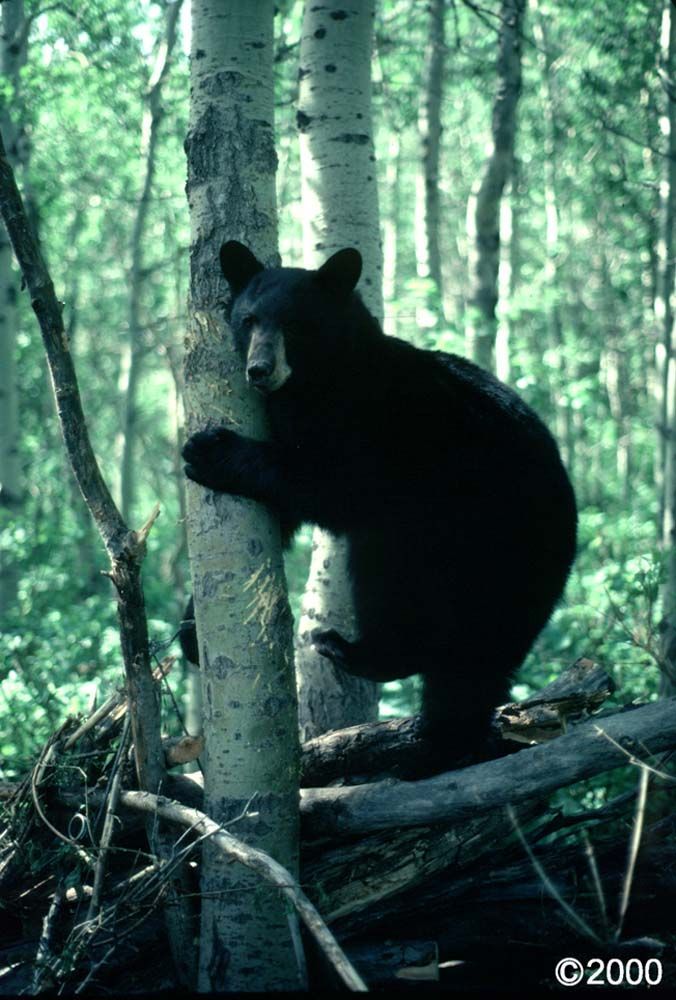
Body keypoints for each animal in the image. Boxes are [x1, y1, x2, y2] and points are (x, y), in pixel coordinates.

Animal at [181, 240, 577, 772]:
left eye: (296, 323)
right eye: (248, 319)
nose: (259, 370)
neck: (323, 382)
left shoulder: (385, 423)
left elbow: (333, 484)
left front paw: (209, 451)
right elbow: (282, 513)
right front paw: (191, 632)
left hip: (496, 542)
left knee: (457, 635)